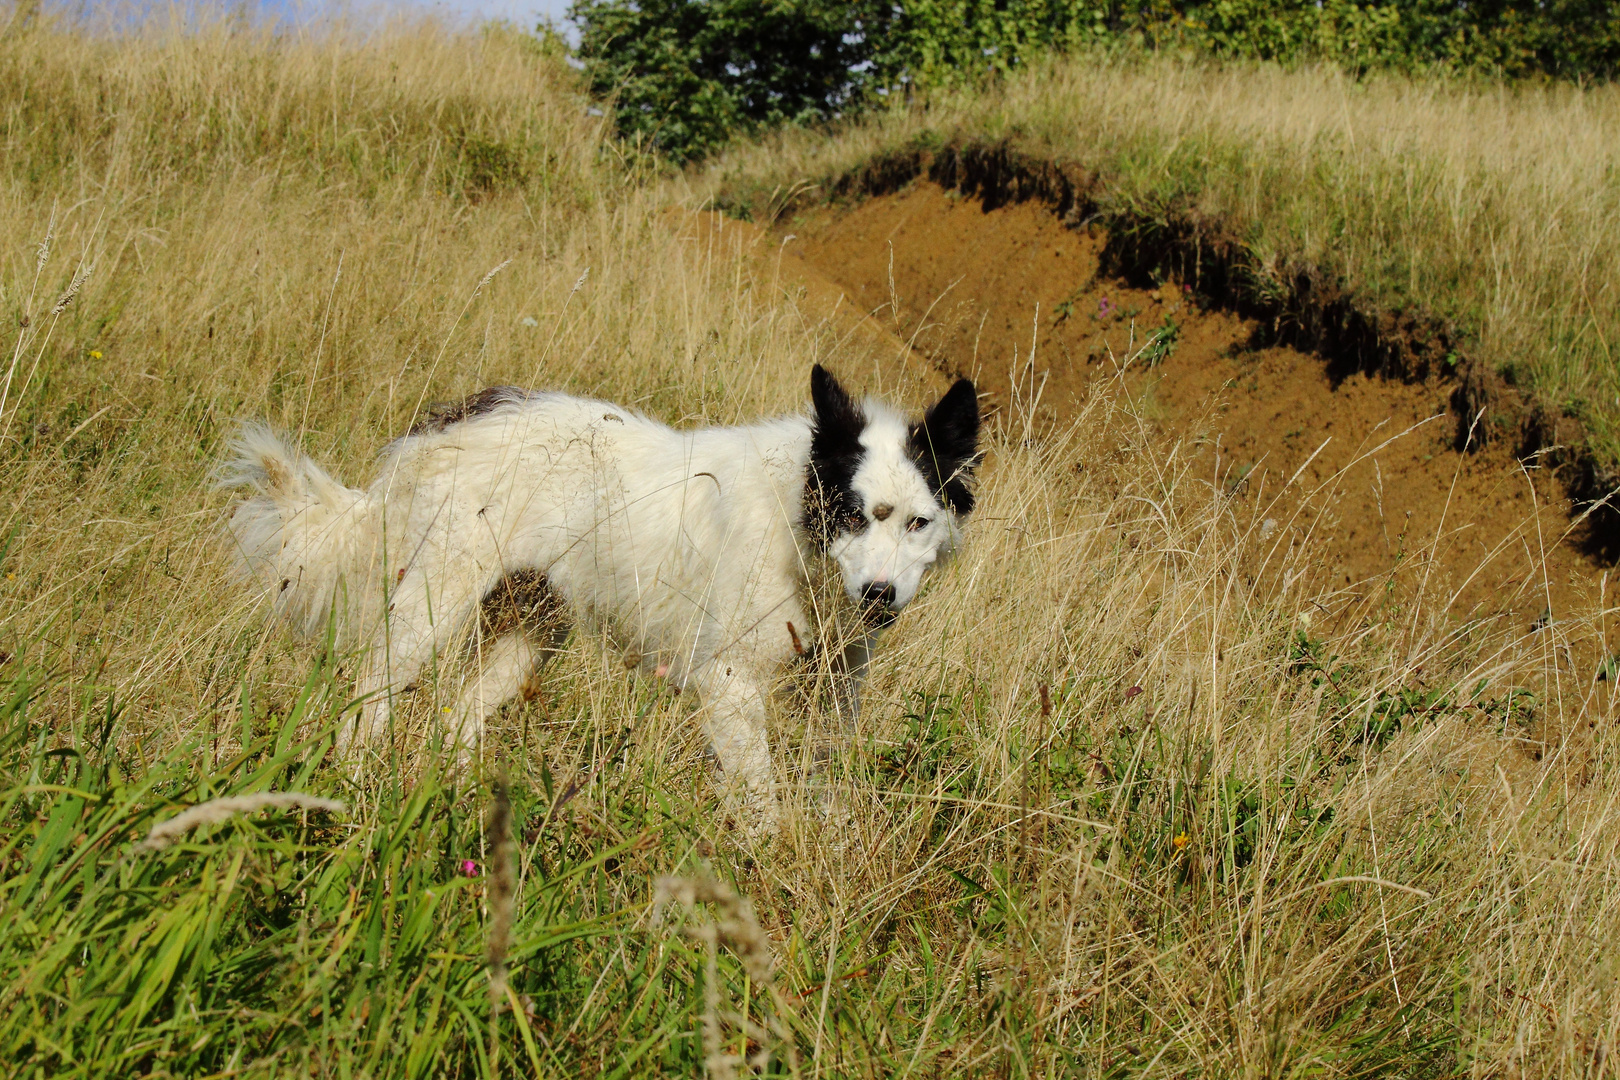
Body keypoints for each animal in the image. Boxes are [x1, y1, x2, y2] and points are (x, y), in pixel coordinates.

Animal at [221, 367, 978, 806]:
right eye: (853, 515)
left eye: (918, 522)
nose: (879, 595)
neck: (798, 521)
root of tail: (461, 417)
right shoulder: (729, 686)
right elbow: (761, 801)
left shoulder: (833, 693)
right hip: (429, 610)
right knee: (368, 699)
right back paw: (352, 790)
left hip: (529, 629)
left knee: (459, 715)